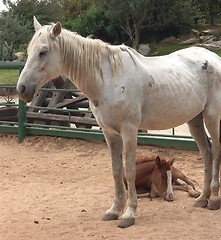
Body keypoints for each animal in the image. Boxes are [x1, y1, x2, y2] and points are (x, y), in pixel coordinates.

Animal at [16, 16, 221, 227]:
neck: (108, 80)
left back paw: (213, 199)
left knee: (215, 151)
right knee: (206, 154)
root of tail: (214, 58)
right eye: (29, 51)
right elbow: (116, 171)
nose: (21, 89)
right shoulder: (110, 133)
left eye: (43, 52)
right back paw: (202, 199)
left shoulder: (129, 131)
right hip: (194, 120)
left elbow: (129, 171)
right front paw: (114, 210)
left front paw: (129, 214)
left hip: (211, 117)